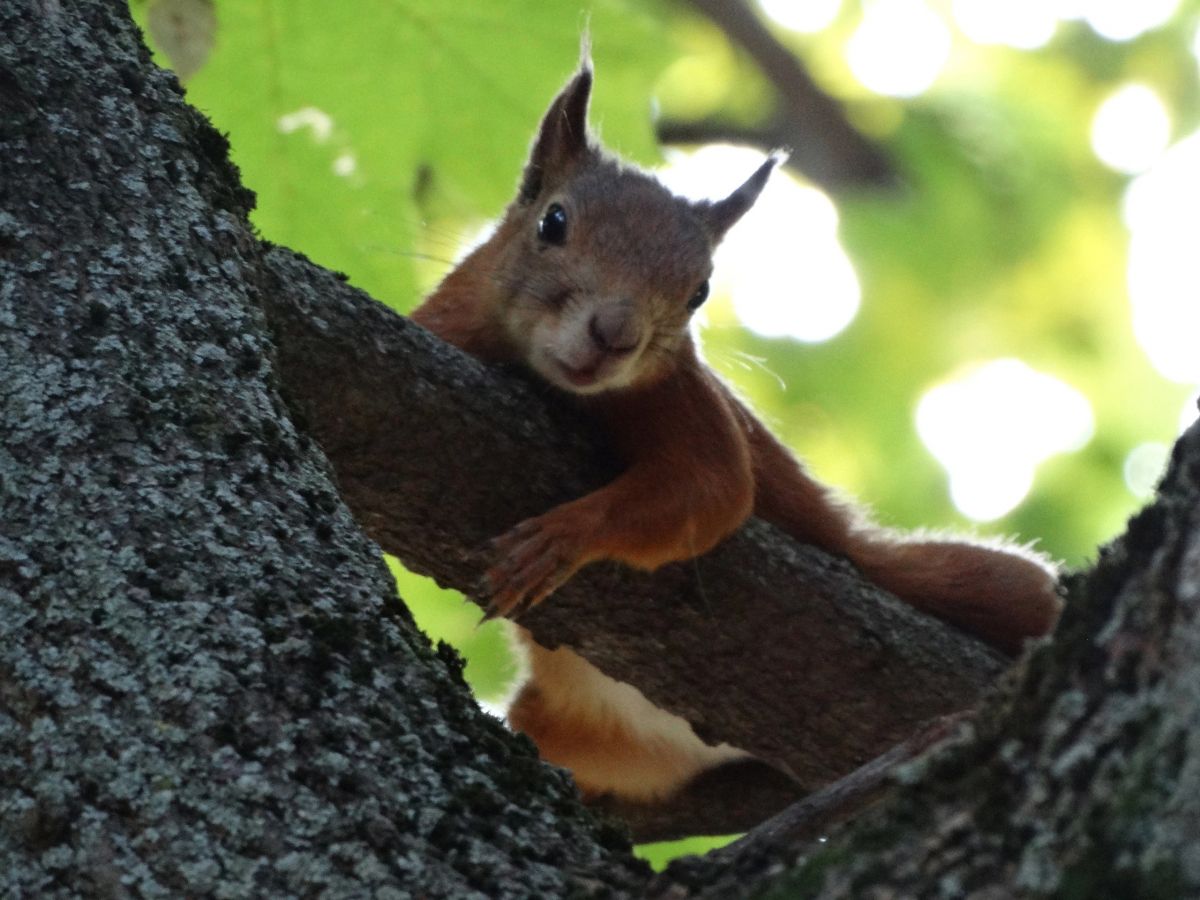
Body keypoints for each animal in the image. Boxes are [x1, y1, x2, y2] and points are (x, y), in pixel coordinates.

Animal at [410, 58, 1060, 801]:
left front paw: (561, 537)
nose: (616, 335)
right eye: (553, 221)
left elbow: (712, 486)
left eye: (700, 291)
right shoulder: (445, 325)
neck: (556, 384)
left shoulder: (682, 397)